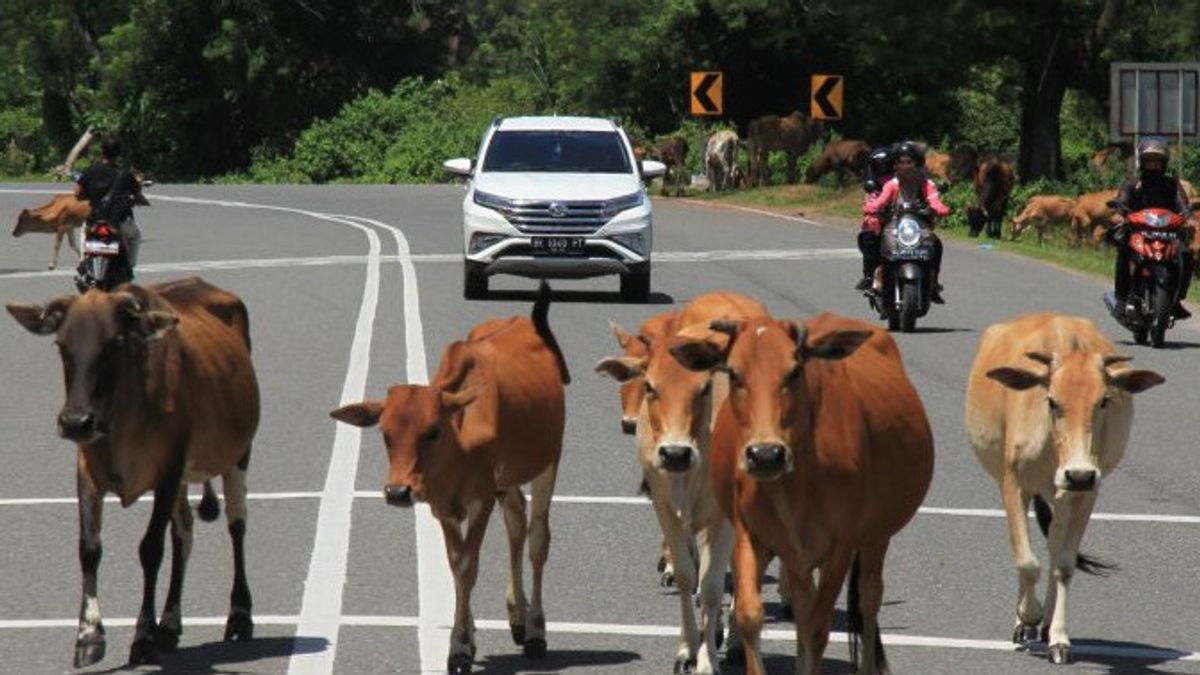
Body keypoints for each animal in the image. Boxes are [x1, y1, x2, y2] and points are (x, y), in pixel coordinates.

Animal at [7, 276, 260, 662]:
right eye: (61, 345)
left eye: (114, 343)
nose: (76, 422)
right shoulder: (87, 472)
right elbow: (89, 549)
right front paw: (89, 636)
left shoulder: (168, 470)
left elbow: (150, 549)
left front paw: (142, 636)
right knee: (184, 533)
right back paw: (170, 623)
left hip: (238, 455)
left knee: (236, 525)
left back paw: (239, 616)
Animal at [331, 281, 568, 667]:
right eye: (385, 434)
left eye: (432, 431)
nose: (398, 492)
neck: (458, 441)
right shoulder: (443, 505)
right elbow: (456, 565)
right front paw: (466, 637)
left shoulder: (481, 498)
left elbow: (468, 565)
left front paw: (459, 646)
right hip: (508, 482)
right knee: (516, 524)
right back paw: (517, 618)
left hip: (548, 462)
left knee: (537, 538)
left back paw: (535, 630)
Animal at [597, 289, 768, 672]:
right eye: (650, 386)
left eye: (704, 388)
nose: (675, 453)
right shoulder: (666, 509)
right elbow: (690, 576)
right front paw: (687, 649)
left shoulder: (724, 519)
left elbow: (713, 586)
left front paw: (708, 659)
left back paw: (734, 639)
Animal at [672, 312, 931, 672]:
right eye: (734, 374)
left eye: (795, 371)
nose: (766, 454)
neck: (794, 487)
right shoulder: (750, 534)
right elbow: (752, 616)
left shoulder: (841, 548)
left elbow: (819, 628)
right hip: (798, 554)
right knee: (805, 604)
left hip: (876, 536)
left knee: (868, 597)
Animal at [964, 314, 1161, 662]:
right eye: (1052, 401)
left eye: (1104, 400)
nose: (1079, 474)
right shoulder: (1013, 484)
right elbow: (1026, 562)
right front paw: (1027, 615)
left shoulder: (1085, 494)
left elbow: (1064, 565)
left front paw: (1057, 637)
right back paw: (1025, 623)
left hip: (1063, 496)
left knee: (1055, 545)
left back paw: (1045, 627)